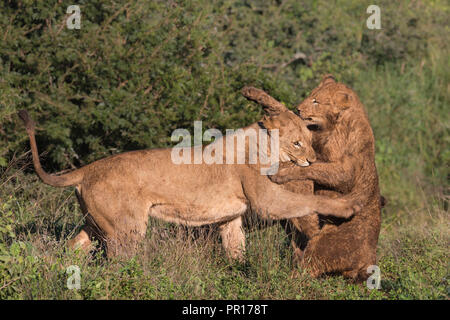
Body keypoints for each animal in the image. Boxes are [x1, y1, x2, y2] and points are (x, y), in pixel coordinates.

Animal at [18, 88, 362, 260]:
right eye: (297, 142)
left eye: (309, 139)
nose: (311, 160)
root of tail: (86, 170)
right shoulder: (267, 201)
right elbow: (309, 202)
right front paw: (348, 206)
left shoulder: (231, 220)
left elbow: (237, 254)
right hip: (126, 230)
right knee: (117, 266)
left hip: (94, 224)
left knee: (69, 251)